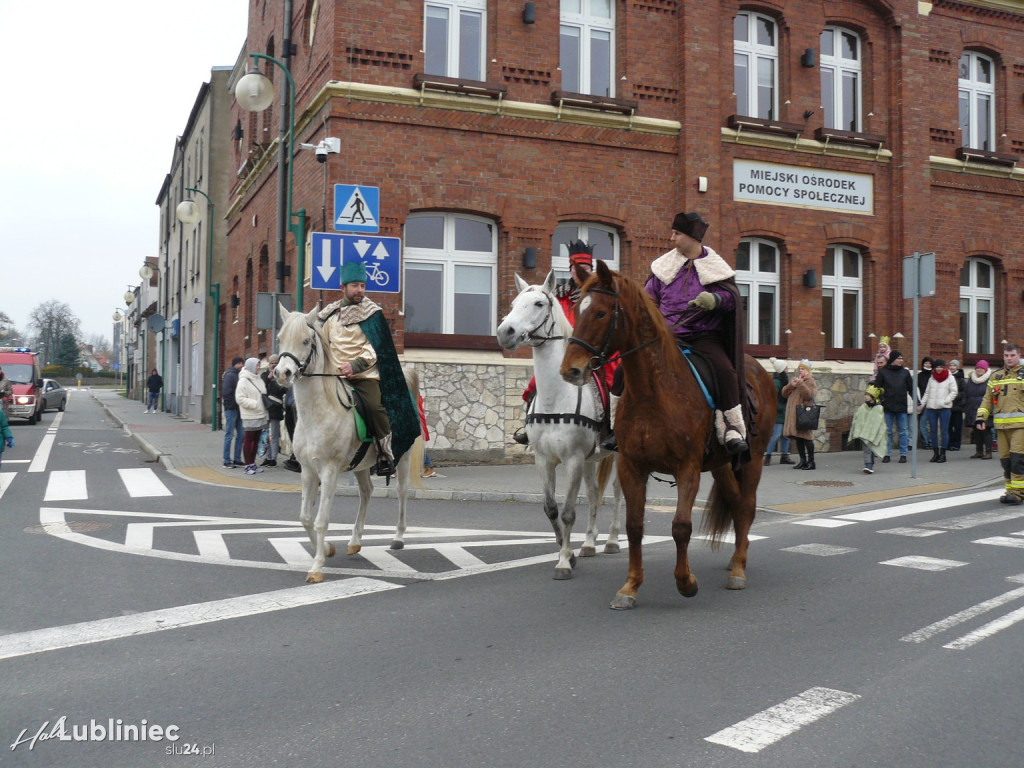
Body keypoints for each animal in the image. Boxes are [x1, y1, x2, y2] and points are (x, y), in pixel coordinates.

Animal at [274, 303, 421, 585]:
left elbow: (321, 520)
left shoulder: (329, 471)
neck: (319, 412)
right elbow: (305, 517)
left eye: (306, 341)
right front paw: (327, 548)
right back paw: (354, 540)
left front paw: (317, 566)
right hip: (362, 465)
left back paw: (398, 537)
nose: (282, 373)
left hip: (404, 456)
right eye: (280, 338)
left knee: (402, 492)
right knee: (366, 492)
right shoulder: (308, 471)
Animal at [493, 270, 618, 577]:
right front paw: (569, 553)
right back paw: (589, 543)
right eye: (513, 303)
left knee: (618, 493)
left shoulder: (573, 460)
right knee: (594, 493)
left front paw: (563, 562)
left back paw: (611, 540)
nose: (505, 332)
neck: (556, 397)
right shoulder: (543, 459)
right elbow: (550, 509)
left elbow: (568, 512)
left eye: (539, 303)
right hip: (591, 459)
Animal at [561, 262, 774, 610]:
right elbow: (634, 527)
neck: (655, 391)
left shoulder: (687, 468)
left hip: (752, 459)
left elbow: (681, 526)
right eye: (578, 309)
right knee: (734, 501)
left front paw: (686, 582)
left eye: (602, 313)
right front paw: (630, 587)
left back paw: (739, 570)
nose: (571, 370)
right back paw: (733, 560)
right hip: (721, 464)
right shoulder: (631, 466)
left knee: (746, 507)